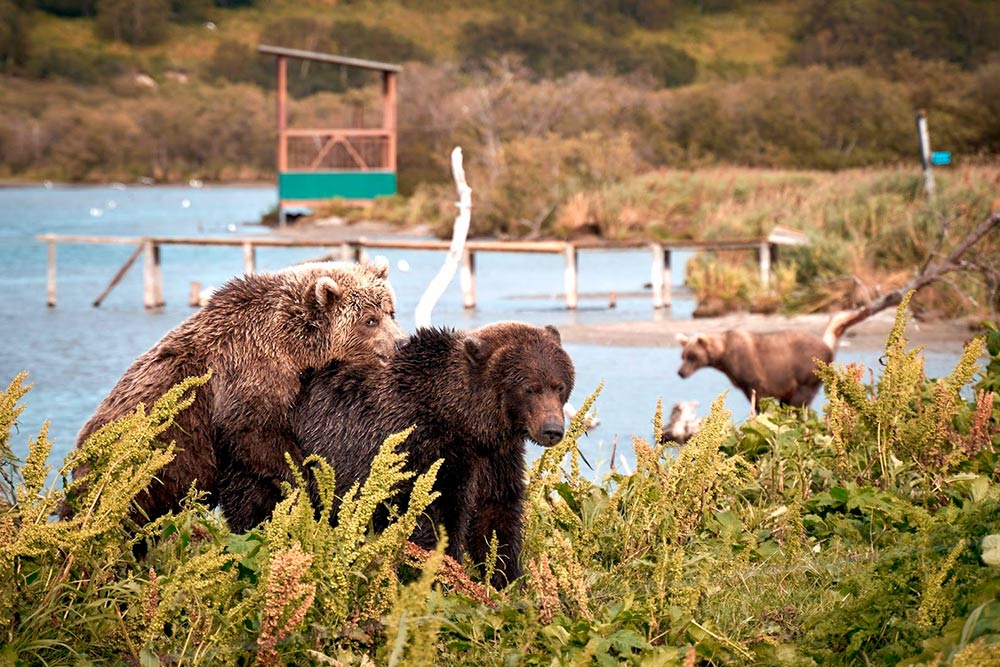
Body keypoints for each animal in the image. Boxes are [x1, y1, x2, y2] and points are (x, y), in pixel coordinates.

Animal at [65, 260, 406, 532]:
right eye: (370, 319)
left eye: (390, 311)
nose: (401, 342)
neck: (294, 345)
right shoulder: (247, 367)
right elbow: (254, 432)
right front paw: (303, 474)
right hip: (137, 471)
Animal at [290, 324, 576, 588]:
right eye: (529, 388)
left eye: (559, 386)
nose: (552, 429)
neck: (465, 422)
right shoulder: (425, 447)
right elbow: (433, 515)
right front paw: (448, 577)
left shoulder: (496, 457)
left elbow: (495, 513)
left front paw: (509, 579)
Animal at [680, 312, 860, 408]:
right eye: (683, 355)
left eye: (692, 356)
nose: (680, 372)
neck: (724, 356)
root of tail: (827, 346)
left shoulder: (751, 370)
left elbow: (757, 396)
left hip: (806, 371)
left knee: (799, 400)